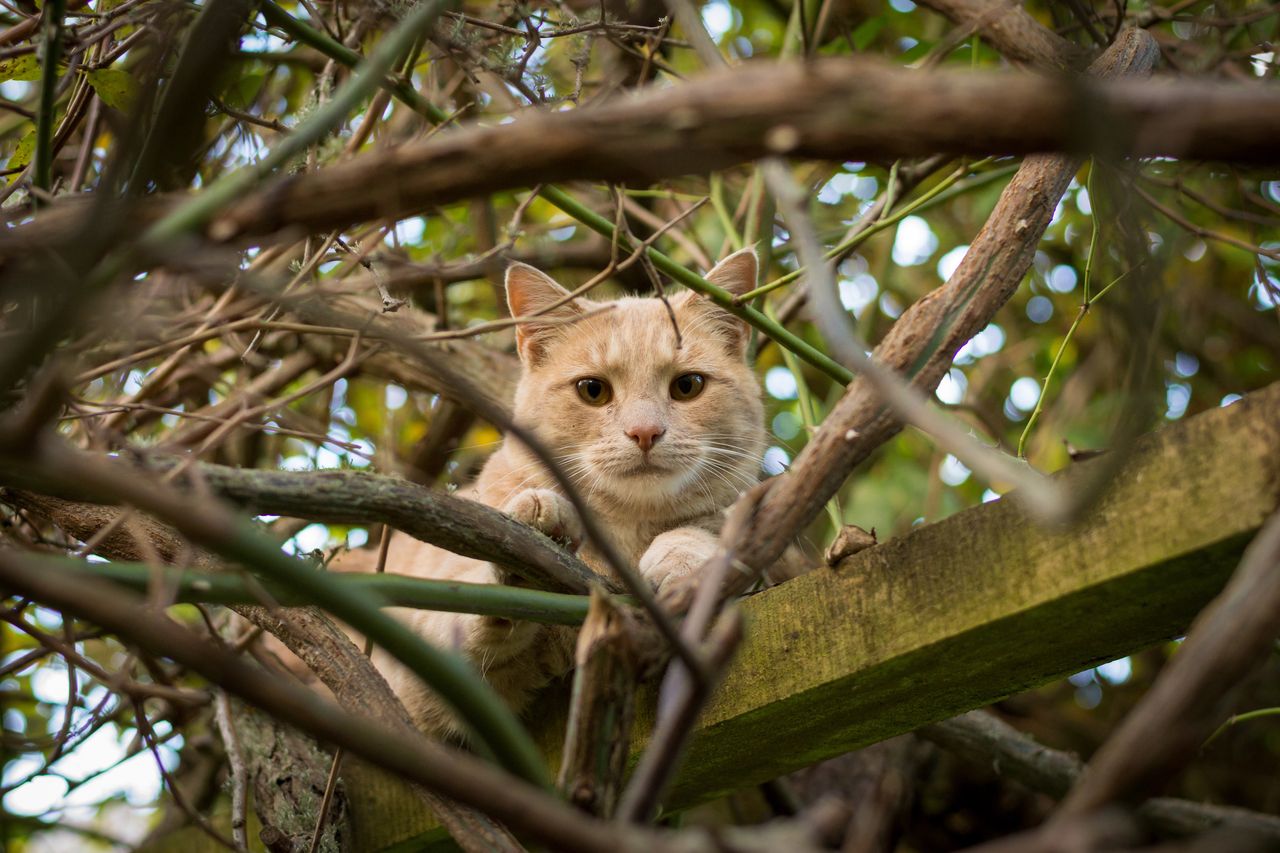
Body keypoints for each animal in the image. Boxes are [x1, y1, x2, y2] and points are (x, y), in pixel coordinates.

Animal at [335, 247, 762, 737]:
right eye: (593, 391)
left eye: (687, 386)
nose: (645, 432)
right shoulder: (428, 683)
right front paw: (536, 529)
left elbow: (703, 528)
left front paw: (684, 560)